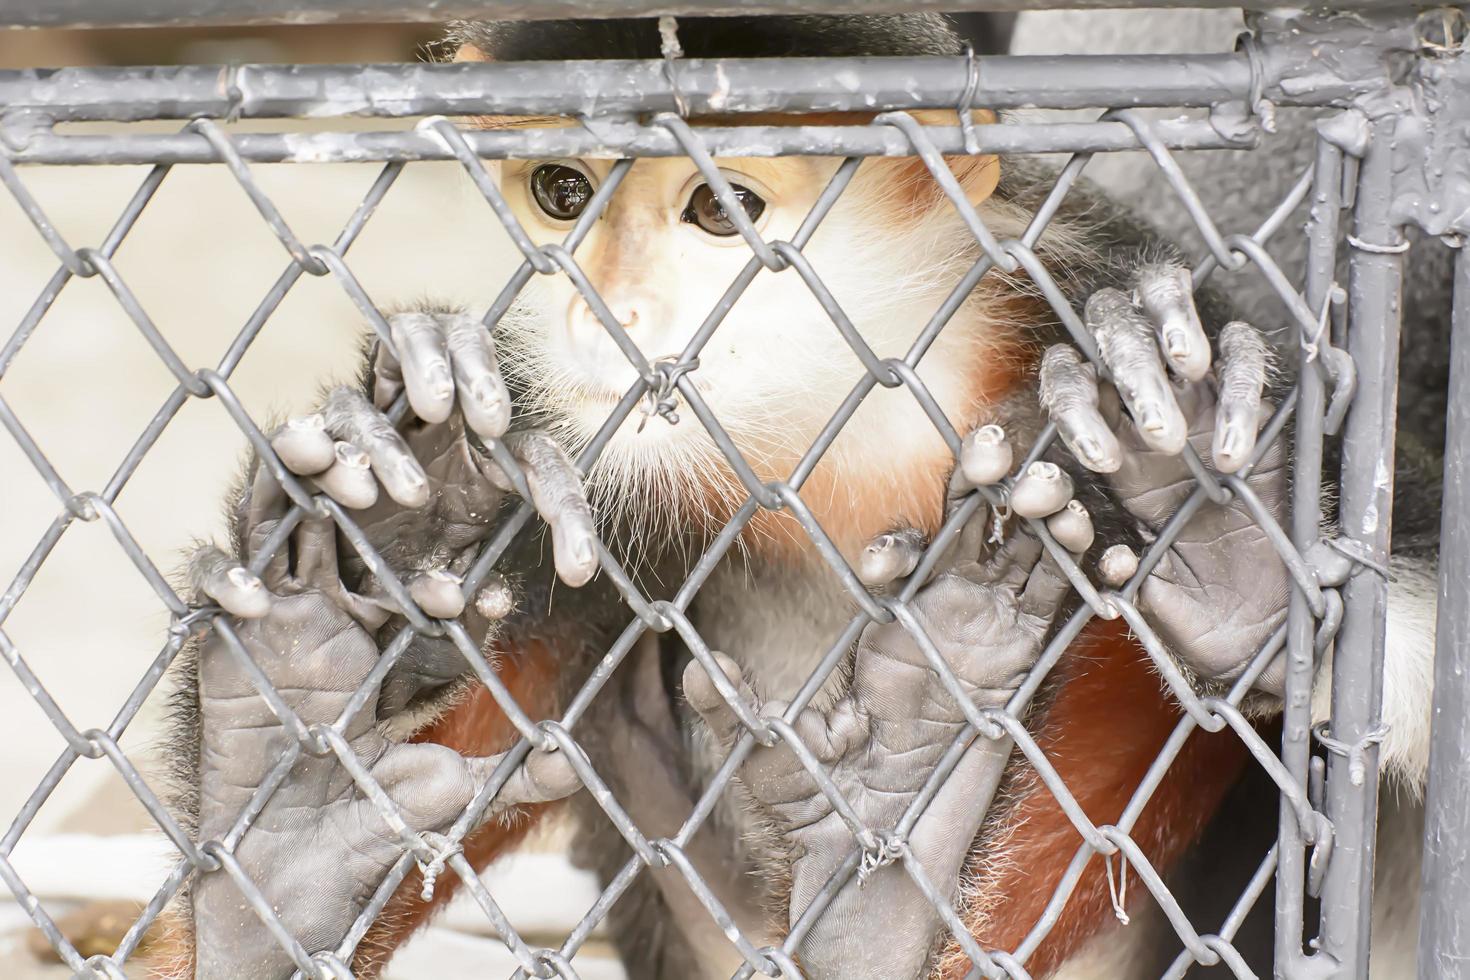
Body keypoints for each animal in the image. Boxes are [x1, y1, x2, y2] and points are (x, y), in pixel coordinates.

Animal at [155, 13, 1440, 980]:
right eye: (565, 193)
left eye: (718, 210)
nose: (604, 305)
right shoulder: (562, 458)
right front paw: (403, 506)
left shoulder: (1094, 312)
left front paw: (1236, 558)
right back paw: (288, 820)